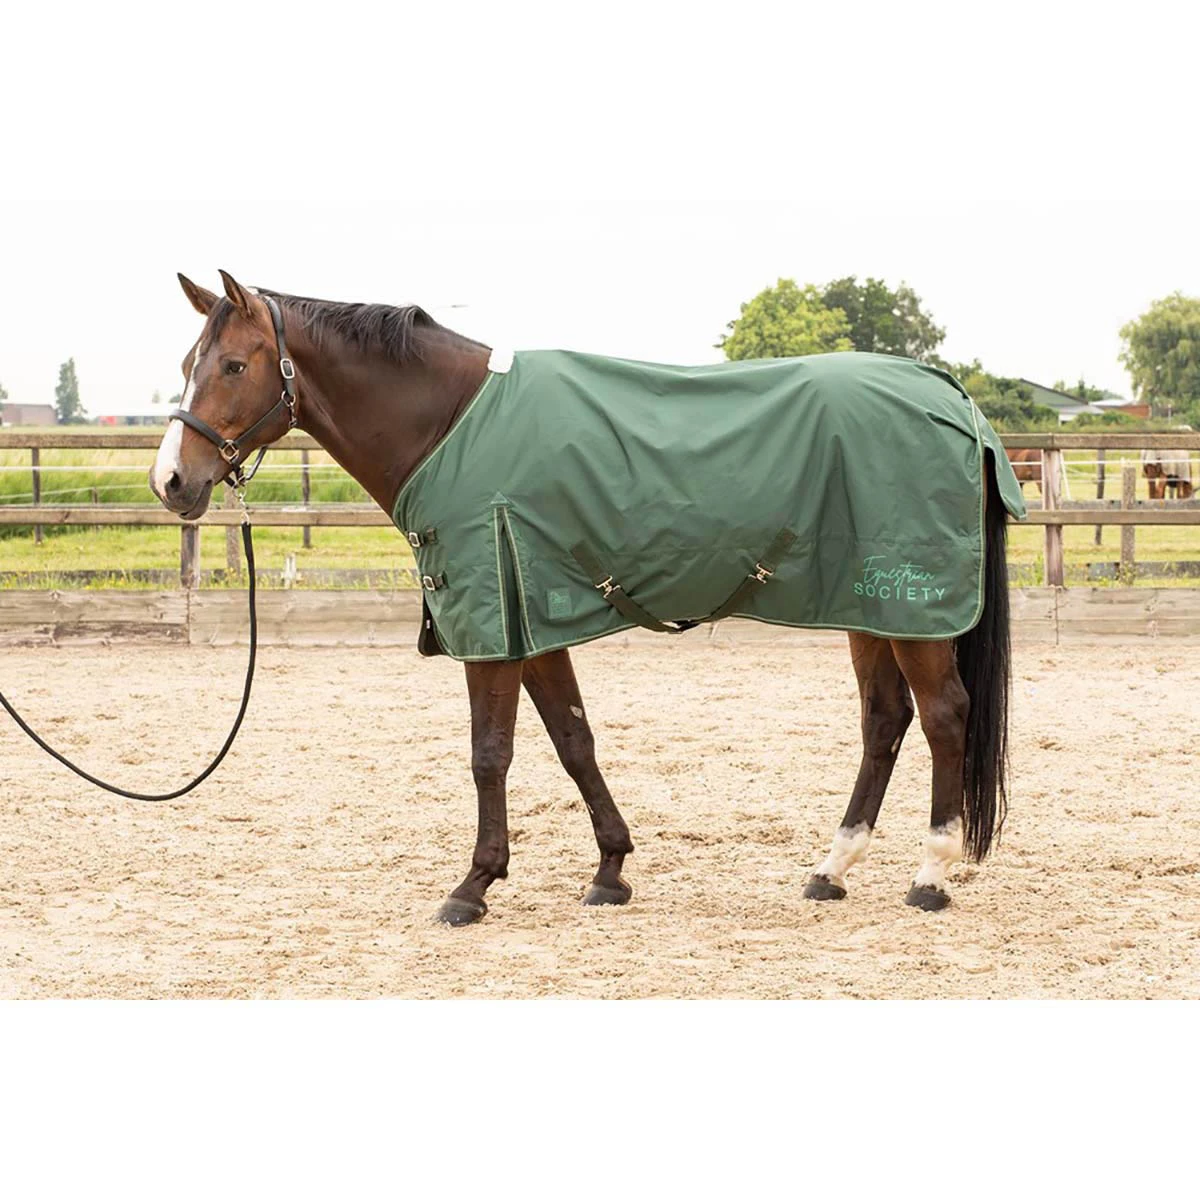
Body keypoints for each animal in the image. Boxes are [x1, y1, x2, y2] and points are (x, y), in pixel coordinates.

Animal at [151, 270, 1017, 924]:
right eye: (190, 359)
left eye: (233, 366)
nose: (172, 482)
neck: (451, 424)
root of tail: (950, 396)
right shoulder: (534, 619)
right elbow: (574, 741)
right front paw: (610, 870)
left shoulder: (495, 624)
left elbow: (490, 755)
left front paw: (473, 886)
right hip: (869, 609)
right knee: (884, 723)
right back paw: (831, 869)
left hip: (913, 613)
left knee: (944, 717)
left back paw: (930, 875)